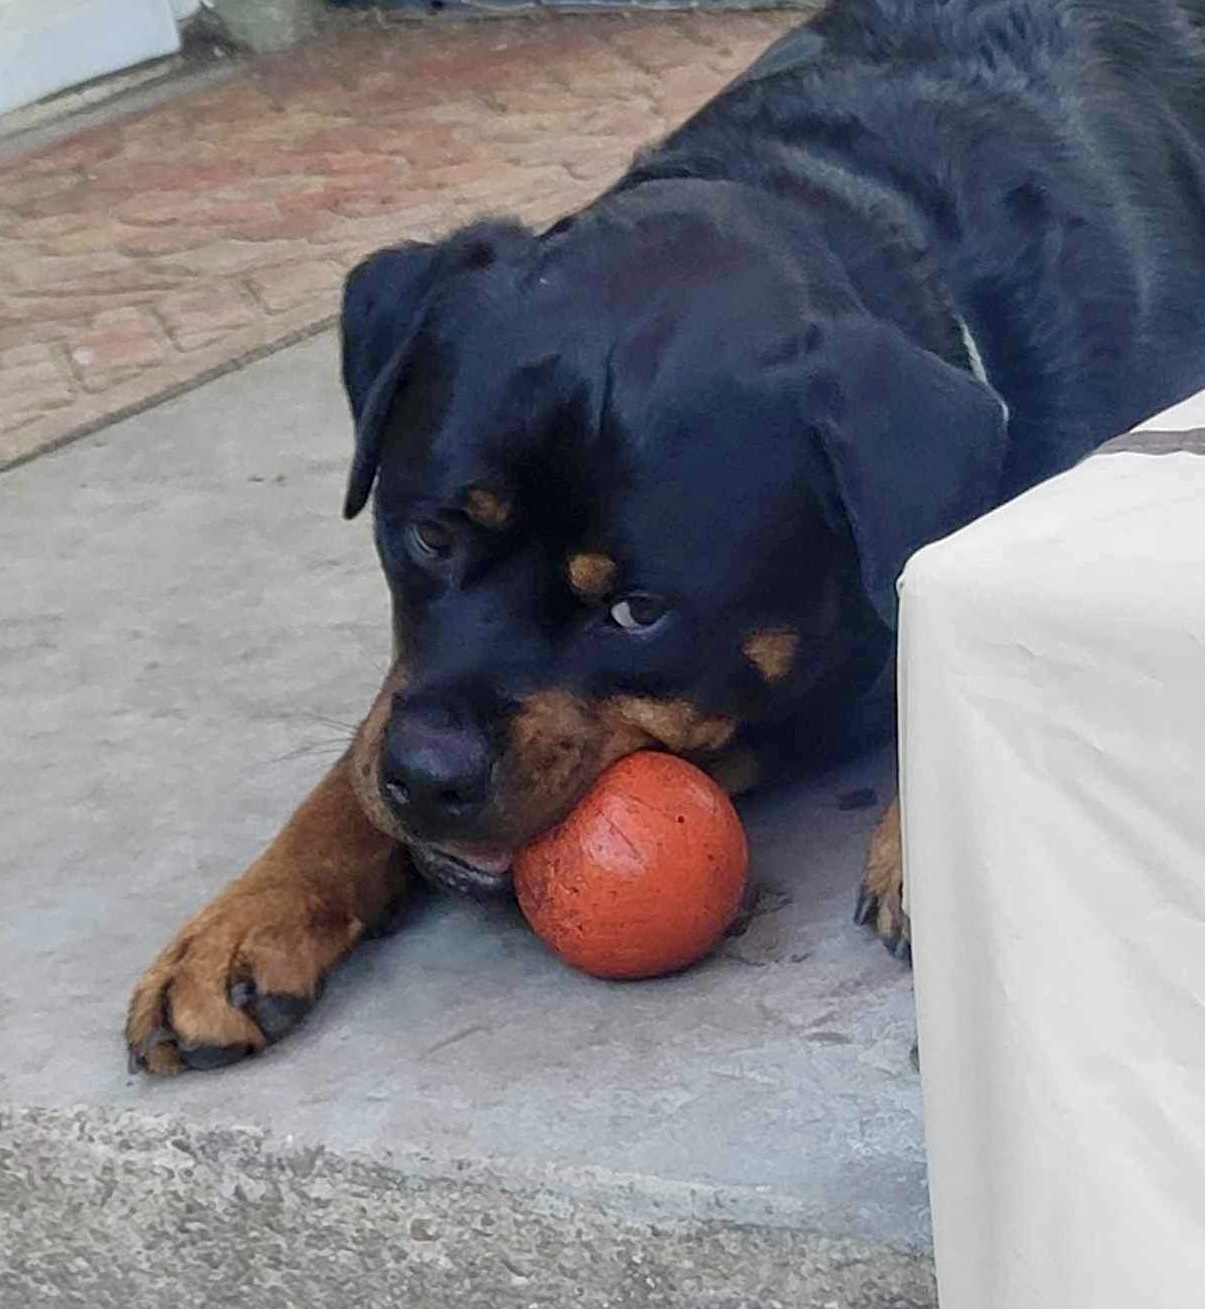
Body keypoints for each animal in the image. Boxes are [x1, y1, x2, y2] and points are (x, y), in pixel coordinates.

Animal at [126, 0, 1203, 1068]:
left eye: (637, 611)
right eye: (427, 537)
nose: (428, 777)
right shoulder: (406, 689)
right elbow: (353, 756)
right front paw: (247, 917)